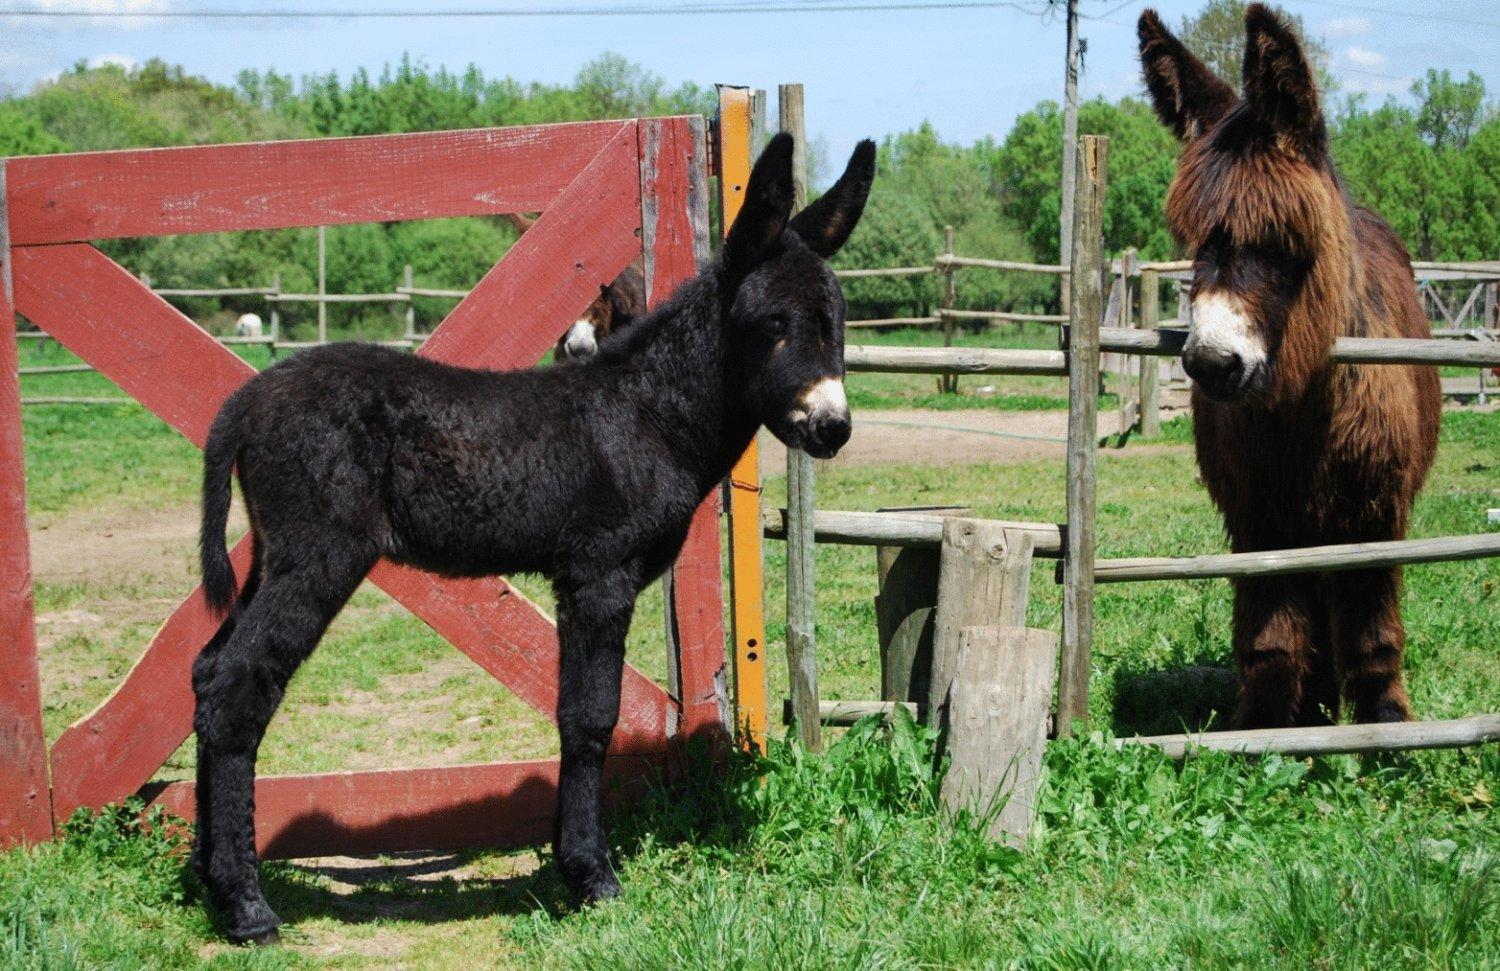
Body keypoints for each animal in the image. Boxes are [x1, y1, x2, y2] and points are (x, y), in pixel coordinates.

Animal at [192, 132, 876, 948]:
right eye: (773, 323)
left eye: (838, 319)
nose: (832, 428)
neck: (646, 414)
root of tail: (249, 397)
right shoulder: (598, 574)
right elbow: (590, 716)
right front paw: (591, 876)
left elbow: (576, 711)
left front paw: (573, 866)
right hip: (319, 556)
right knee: (239, 685)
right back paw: (247, 907)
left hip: (274, 554)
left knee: (207, 670)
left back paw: (207, 880)